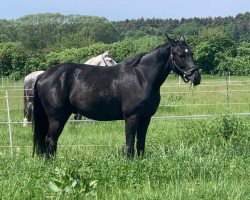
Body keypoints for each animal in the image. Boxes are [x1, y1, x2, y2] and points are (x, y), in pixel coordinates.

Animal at [33, 35, 201, 159]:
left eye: (191, 53)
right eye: (181, 54)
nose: (196, 77)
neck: (141, 77)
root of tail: (43, 75)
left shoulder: (145, 118)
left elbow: (140, 143)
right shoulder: (132, 117)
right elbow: (129, 143)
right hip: (57, 118)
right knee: (50, 140)